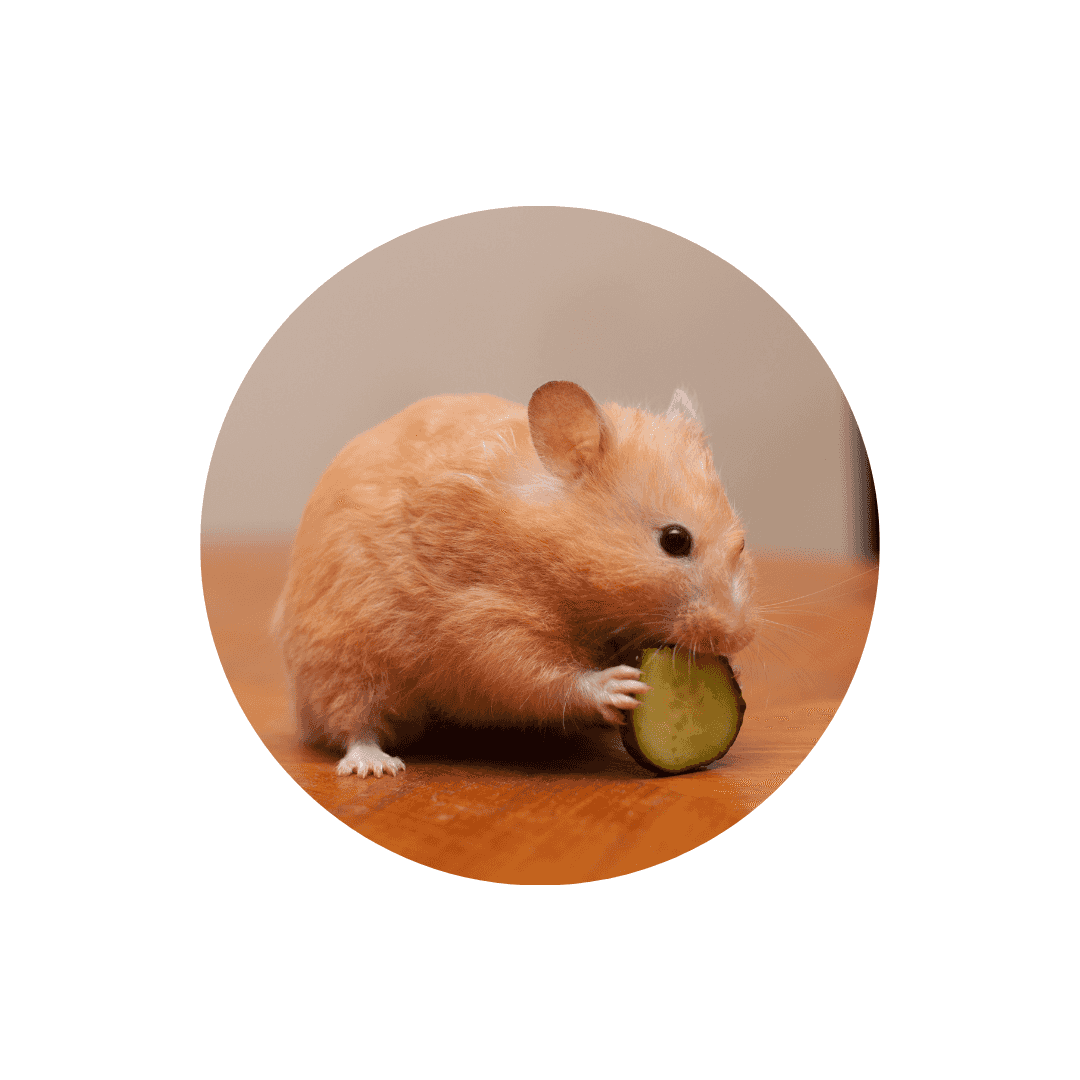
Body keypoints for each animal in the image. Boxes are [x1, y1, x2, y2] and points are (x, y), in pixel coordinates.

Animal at [272, 381, 759, 778]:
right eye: (675, 541)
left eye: (741, 543)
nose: (739, 638)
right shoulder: (485, 618)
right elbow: (536, 674)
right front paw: (619, 687)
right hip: (340, 660)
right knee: (353, 722)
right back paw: (375, 766)